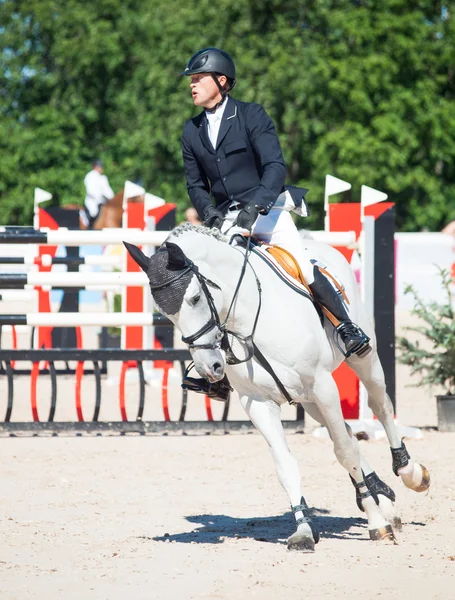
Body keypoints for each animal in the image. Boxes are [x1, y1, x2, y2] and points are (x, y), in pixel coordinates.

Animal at [124, 223, 432, 552]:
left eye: (194, 298)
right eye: (165, 312)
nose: (210, 367)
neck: (247, 321)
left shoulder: (323, 387)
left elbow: (344, 452)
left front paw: (376, 523)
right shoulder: (257, 402)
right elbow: (286, 465)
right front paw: (304, 529)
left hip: (362, 362)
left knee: (380, 407)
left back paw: (410, 474)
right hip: (307, 399)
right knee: (349, 430)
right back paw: (383, 497)